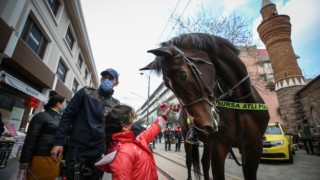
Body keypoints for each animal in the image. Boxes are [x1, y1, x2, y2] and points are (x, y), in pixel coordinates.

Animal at [141, 32, 268, 180]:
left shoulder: (254, 147)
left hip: (208, 143)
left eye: (182, 75)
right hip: (188, 139)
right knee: (189, 161)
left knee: (204, 162)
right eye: (167, 85)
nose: (203, 123)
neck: (240, 101)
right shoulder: (219, 147)